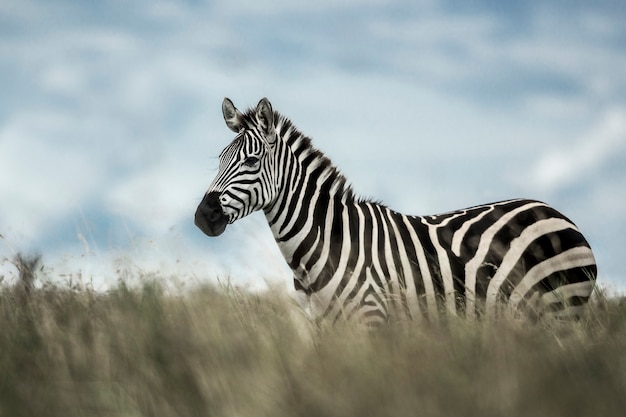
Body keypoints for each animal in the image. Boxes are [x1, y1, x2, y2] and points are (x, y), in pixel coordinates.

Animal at [195, 97, 596, 324]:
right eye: (220, 159)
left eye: (251, 160)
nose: (202, 217)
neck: (326, 243)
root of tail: (559, 214)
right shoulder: (322, 328)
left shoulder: (372, 318)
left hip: (560, 310)